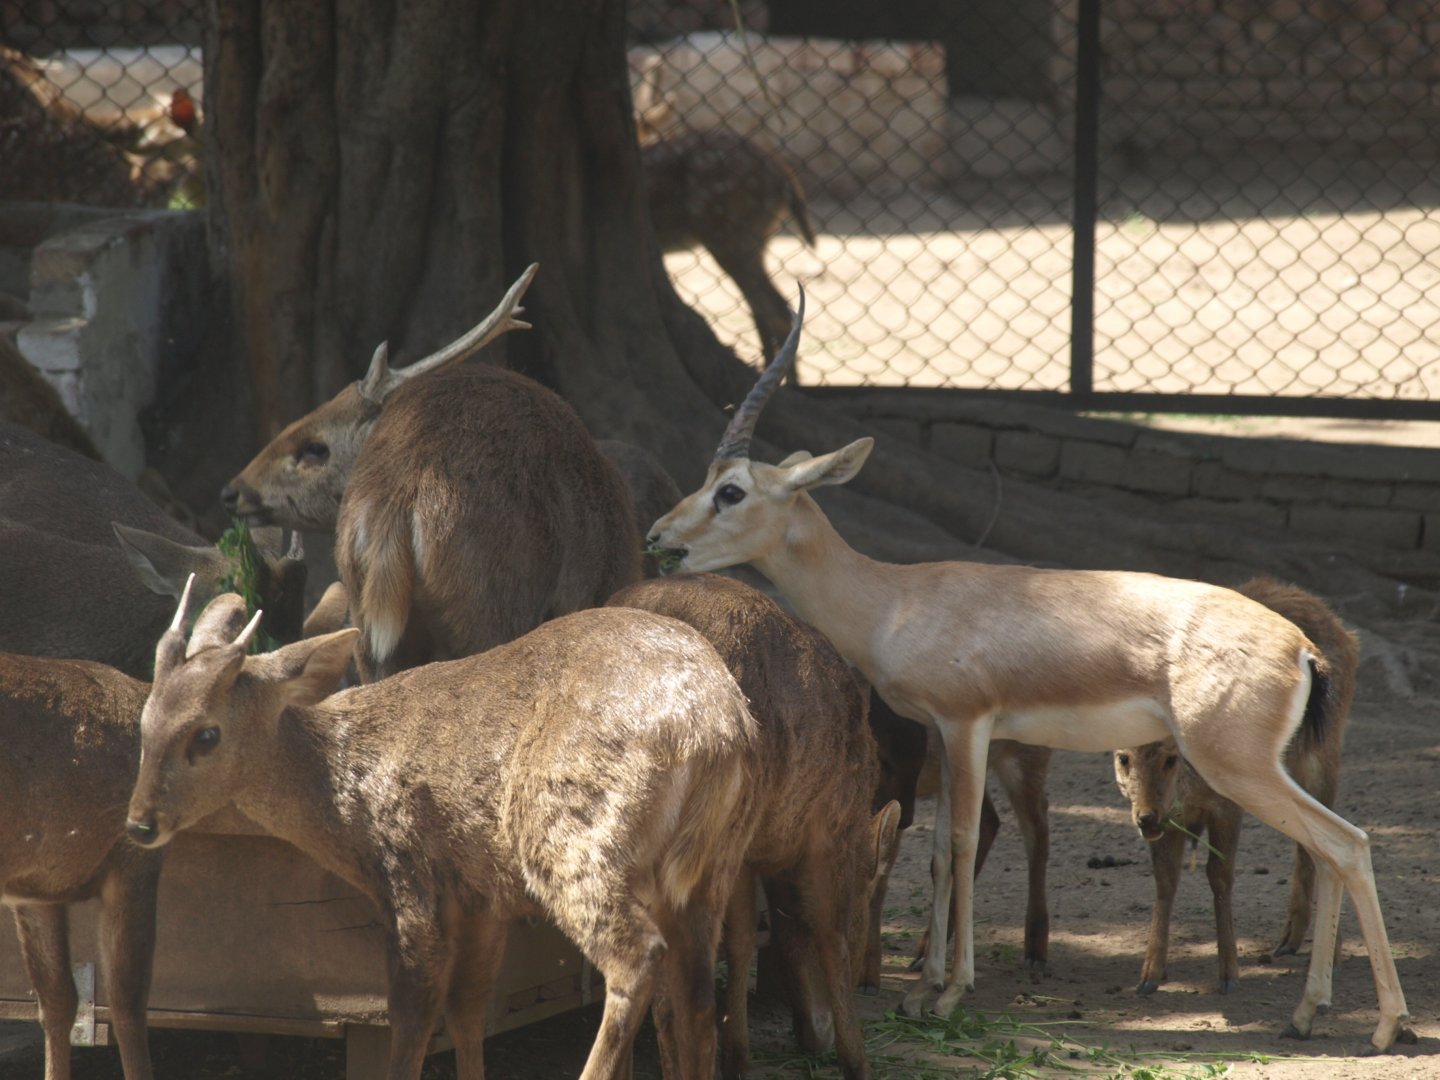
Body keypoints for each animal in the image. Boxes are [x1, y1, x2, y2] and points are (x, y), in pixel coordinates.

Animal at [125, 588, 760, 1080]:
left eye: (206, 735)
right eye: (145, 722)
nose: (138, 822)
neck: (342, 790)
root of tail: (716, 730)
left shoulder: (409, 873)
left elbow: (412, 1021)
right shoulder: (482, 897)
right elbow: (468, 1012)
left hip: (568, 833)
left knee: (637, 957)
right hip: (714, 867)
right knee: (697, 997)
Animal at [608, 573, 900, 1080]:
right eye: (872, 903)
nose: (817, 1030)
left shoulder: (750, 850)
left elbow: (744, 939)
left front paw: (739, 1055)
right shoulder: (830, 830)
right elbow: (831, 934)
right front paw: (856, 1060)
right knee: (673, 992)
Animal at [1114, 575, 1360, 996]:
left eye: (1170, 757)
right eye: (1122, 757)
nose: (1145, 817)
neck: (1190, 793)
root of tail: (1344, 630)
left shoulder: (1226, 805)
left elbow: (1220, 874)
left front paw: (1228, 974)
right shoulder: (1172, 821)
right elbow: (1166, 879)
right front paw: (1149, 975)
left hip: (1320, 752)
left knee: (1328, 840)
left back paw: (1331, 953)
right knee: (1311, 840)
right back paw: (1289, 940)